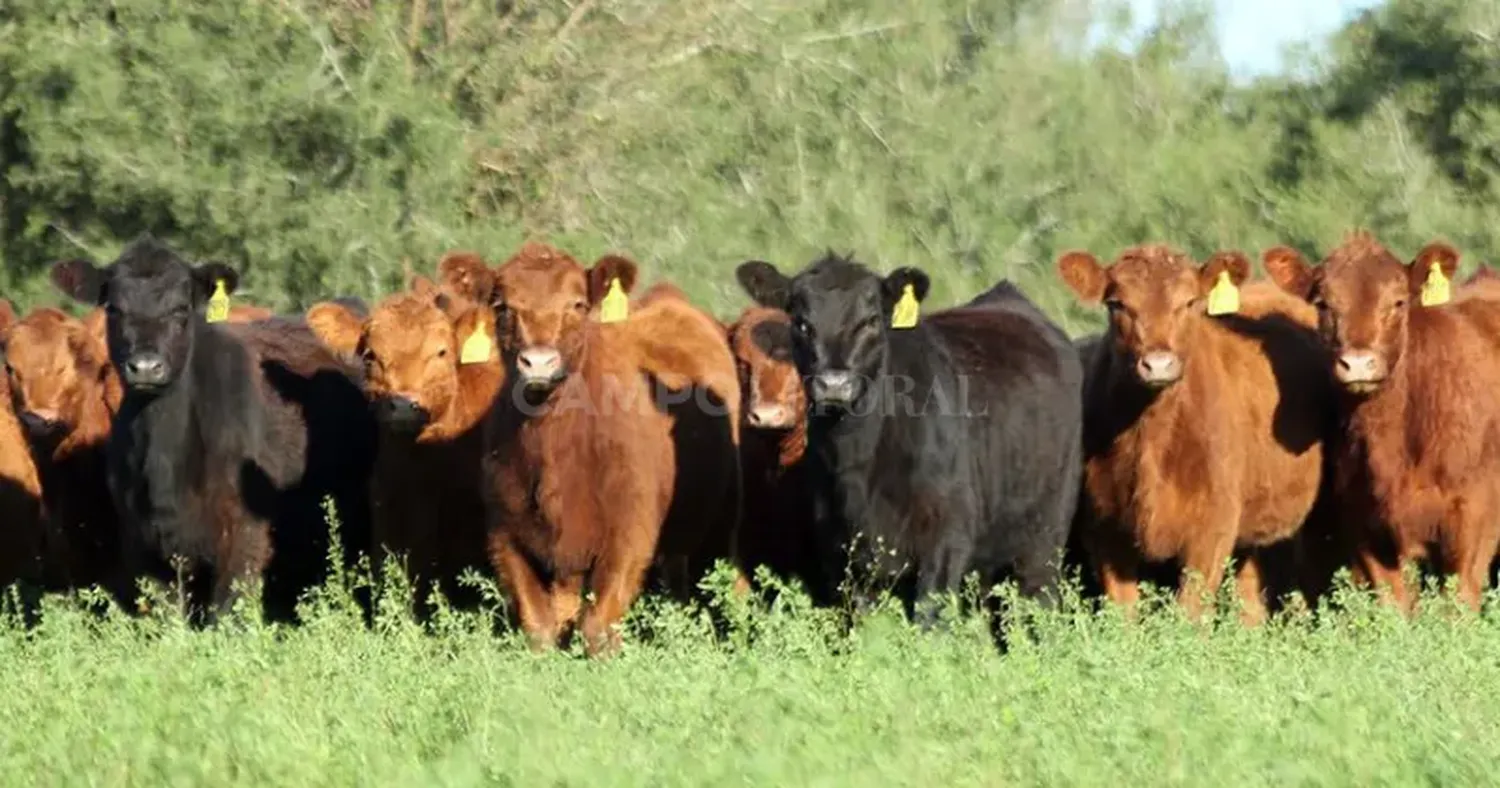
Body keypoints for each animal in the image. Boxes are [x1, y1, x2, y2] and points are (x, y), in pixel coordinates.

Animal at [453, 241, 741, 657]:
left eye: (576, 304)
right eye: (502, 305)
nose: (538, 362)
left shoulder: (629, 536)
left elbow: (598, 628)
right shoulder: (505, 534)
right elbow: (539, 627)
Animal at [735, 252, 1080, 621]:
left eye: (871, 320)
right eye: (801, 323)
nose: (834, 385)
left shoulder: (945, 543)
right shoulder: (841, 558)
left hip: (1043, 544)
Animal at [1266, 231, 1500, 612]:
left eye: (1399, 302)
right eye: (1323, 304)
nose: (1359, 363)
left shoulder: (1475, 520)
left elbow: (1458, 604)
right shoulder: (1368, 532)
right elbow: (1394, 608)